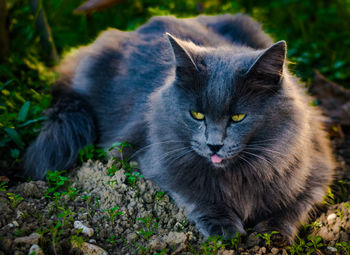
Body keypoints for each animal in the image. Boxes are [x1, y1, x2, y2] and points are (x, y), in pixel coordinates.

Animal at [23, 14, 334, 243]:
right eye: (196, 115)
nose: (214, 145)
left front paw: (271, 234)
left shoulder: (317, 168)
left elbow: (294, 205)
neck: (241, 174)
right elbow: (196, 191)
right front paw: (224, 228)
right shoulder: (157, 159)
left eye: (238, 117)